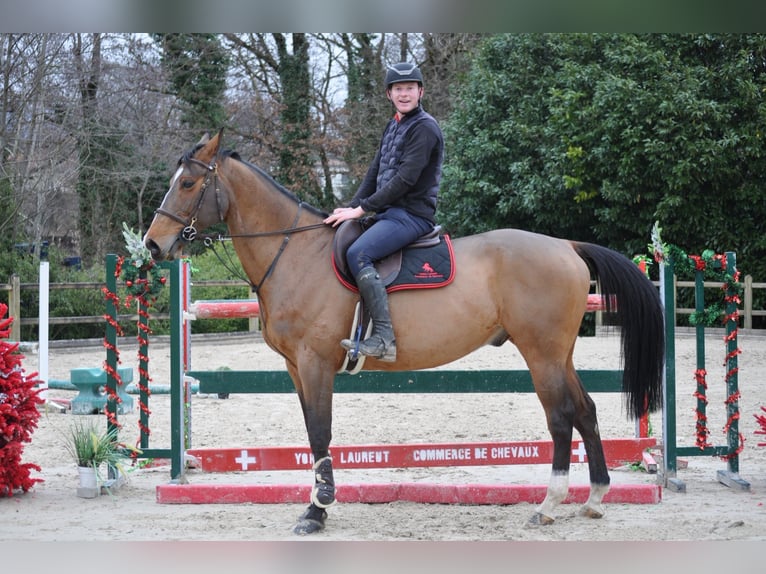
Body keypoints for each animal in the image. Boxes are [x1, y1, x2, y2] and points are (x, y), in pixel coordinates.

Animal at [143, 129, 664, 535]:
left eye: (187, 183)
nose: (152, 245)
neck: (295, 253)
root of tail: (565, 245)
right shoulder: (296, 367)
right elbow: (313, 433)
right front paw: (317, 505)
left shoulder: (315, 364)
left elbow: (320, 432)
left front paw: (318, 509)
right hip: (560, 354)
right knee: (586, 411)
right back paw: (594, 499)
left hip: (542, 354)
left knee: (560, 417)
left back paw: (549, 504)